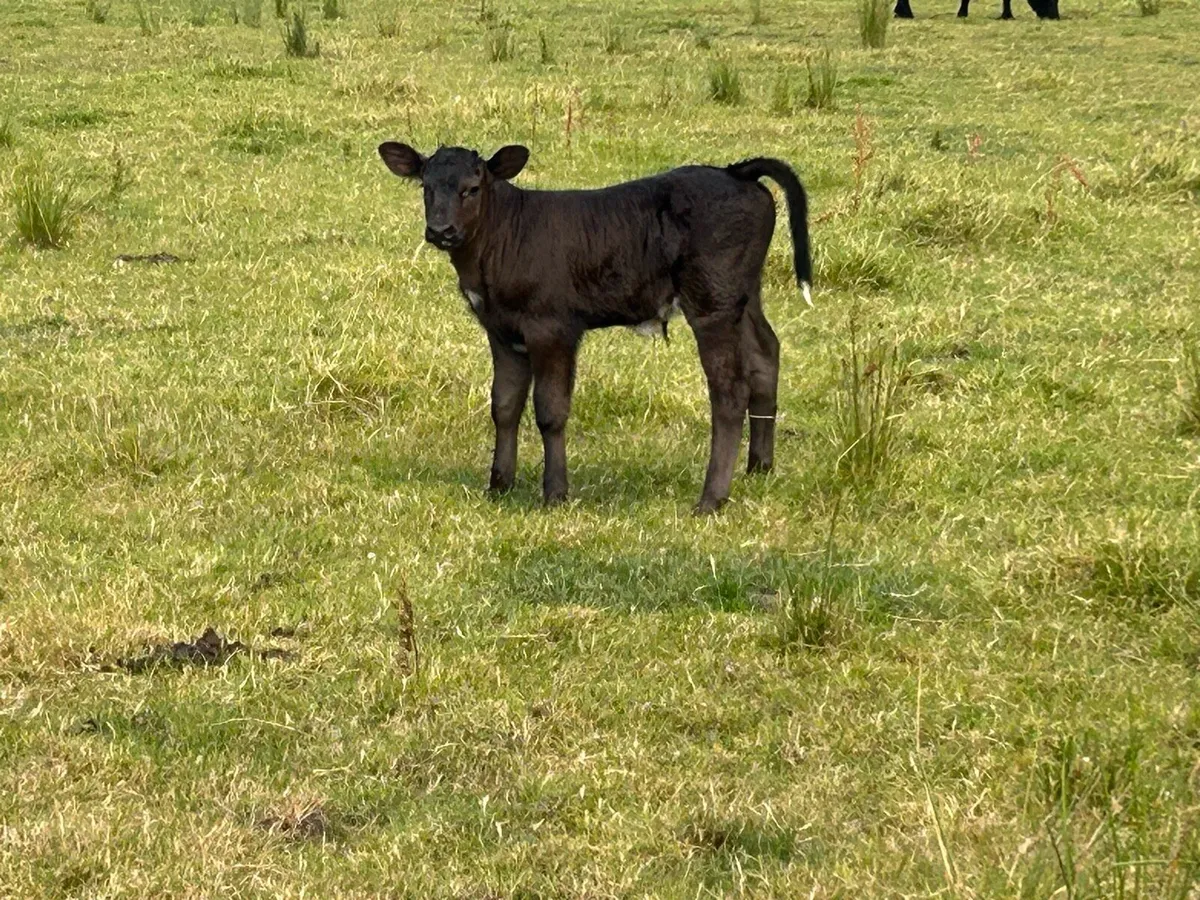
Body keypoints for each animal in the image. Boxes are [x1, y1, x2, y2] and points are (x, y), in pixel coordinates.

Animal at [377, 142, 813, 514]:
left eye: (472, 188)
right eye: (426, 187)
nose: (441, 231)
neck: (504, 237)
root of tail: (734, 171)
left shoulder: (552, 327)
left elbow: (550, 410)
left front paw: (555, 493)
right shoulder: (501, 330)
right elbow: (504, 405)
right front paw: (498, 486)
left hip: (713, 302)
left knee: (730, 389)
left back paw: (711, 499)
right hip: (744, 295)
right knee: (765, 354)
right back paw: (759, 468)